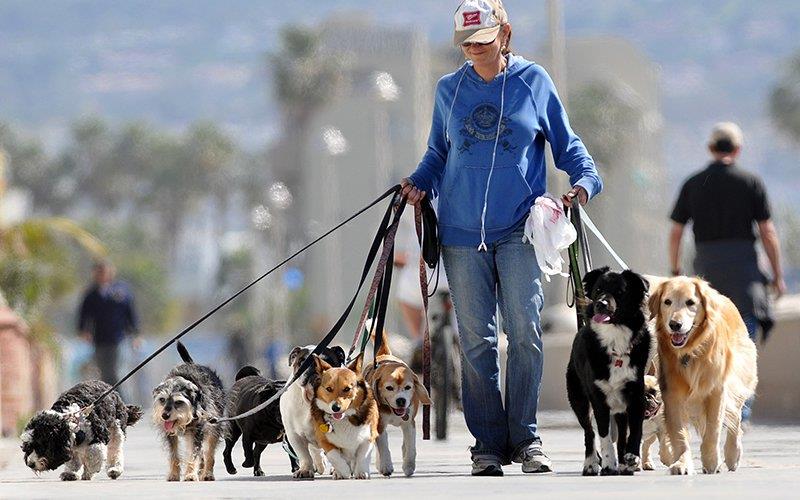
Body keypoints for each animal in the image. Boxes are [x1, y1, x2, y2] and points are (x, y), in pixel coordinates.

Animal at [152, 340, 225, 480]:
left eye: (178, 402)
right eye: (162, 399)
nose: (165, 415)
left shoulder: (197, 431)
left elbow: (194, 454)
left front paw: (190, 474)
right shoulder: (170, 434)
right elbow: (174, 455)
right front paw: (174, 474)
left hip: (213, 427)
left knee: (209, 453)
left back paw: (207, 473)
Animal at [564, 270, 652, 476]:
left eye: (620, 292)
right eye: (598, 290)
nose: (601, 304)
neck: (614, 339)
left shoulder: (636, 395)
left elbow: (635, 430)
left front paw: (632, 457)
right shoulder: (598, 398)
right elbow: (603, 434)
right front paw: (608, 463)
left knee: (621, 432)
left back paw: (625, 463)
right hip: (578, 398)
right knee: (589, 431)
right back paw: (590, 463)